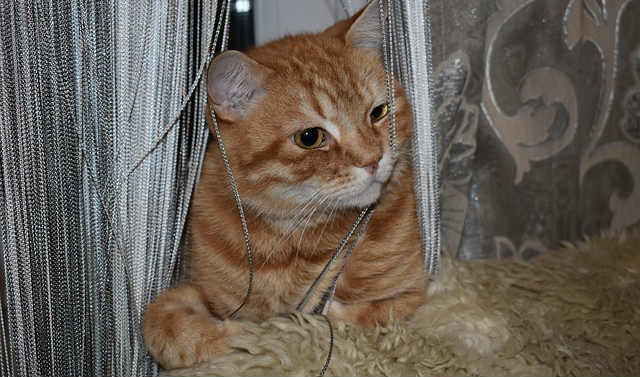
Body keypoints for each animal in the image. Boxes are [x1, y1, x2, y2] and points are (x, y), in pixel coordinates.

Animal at [142, 0, 428, 368]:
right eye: (310, 137)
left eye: (378, 112)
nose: (373, 159)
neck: (292, 239)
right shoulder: (200, 291)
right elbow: (163, 324)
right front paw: (243, 335)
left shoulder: (407, 297)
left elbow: (344, 316)